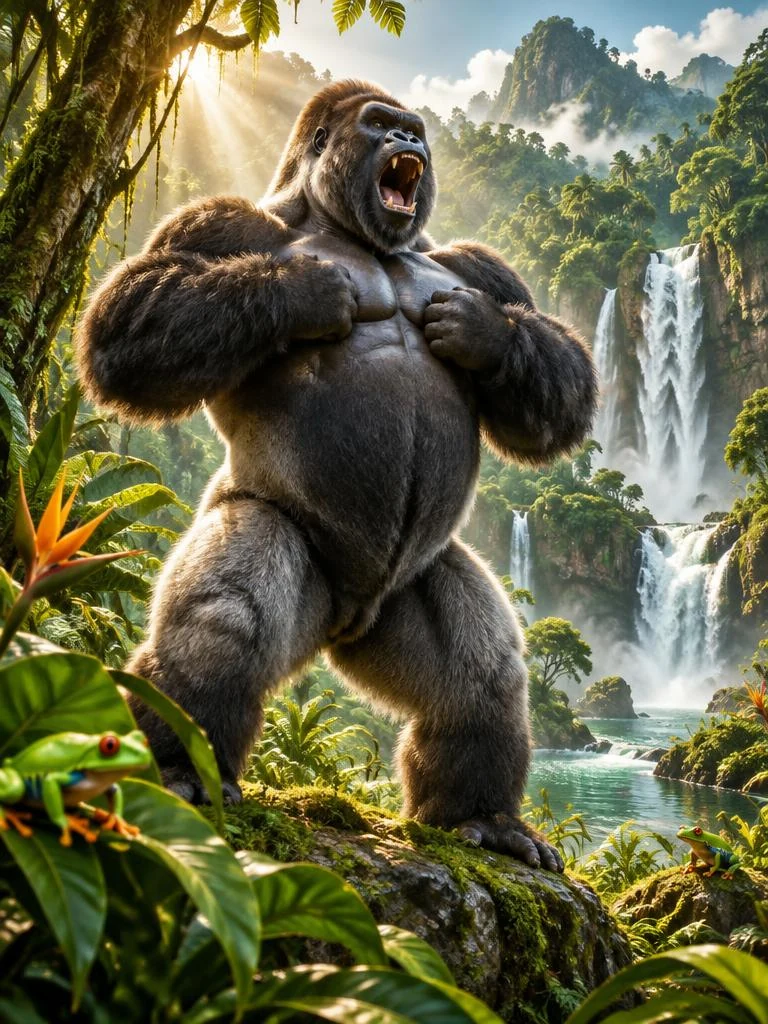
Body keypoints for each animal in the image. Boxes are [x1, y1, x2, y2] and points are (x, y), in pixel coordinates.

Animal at [77, 79, 597, 872]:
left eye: (414, 131)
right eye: (381, 125)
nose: (407, 145)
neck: (353, 233)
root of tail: (339, 623)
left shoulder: (480, 264)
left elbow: (556, 388)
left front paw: (487, 334)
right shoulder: (221, 222)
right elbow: (133, 311)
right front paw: (297, 291)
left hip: (398, 596)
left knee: (485, 673)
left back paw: (480, 814)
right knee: (228, 614)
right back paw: (176, 767)